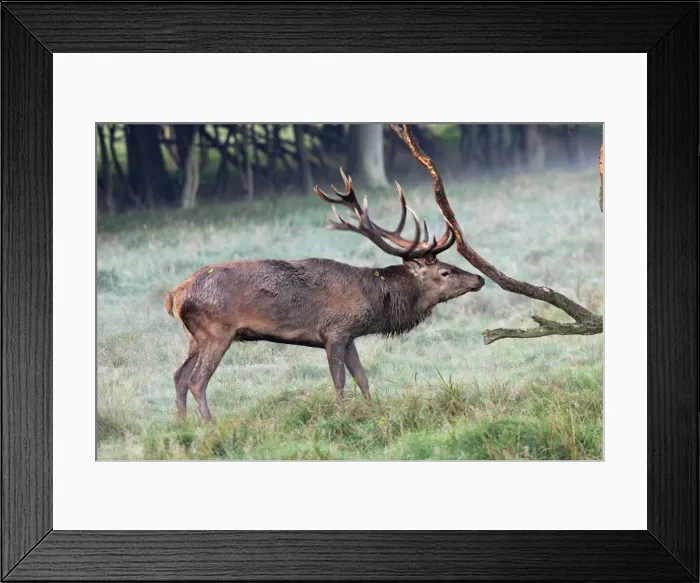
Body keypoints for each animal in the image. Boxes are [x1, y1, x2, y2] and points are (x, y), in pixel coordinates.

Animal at [164, 169, 485, 421]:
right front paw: (342, 415)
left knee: (179, 376)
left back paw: (183, 425)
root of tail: (174, 296)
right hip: (217, 331)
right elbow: (340, 381)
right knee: (196, 381)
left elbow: (363, 378)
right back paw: (209, 425)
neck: (373, 299)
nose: (479, 278)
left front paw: (373, 410)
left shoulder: (351, 335)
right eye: (445, 271)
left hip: (195, 337)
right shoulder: (334, 331)